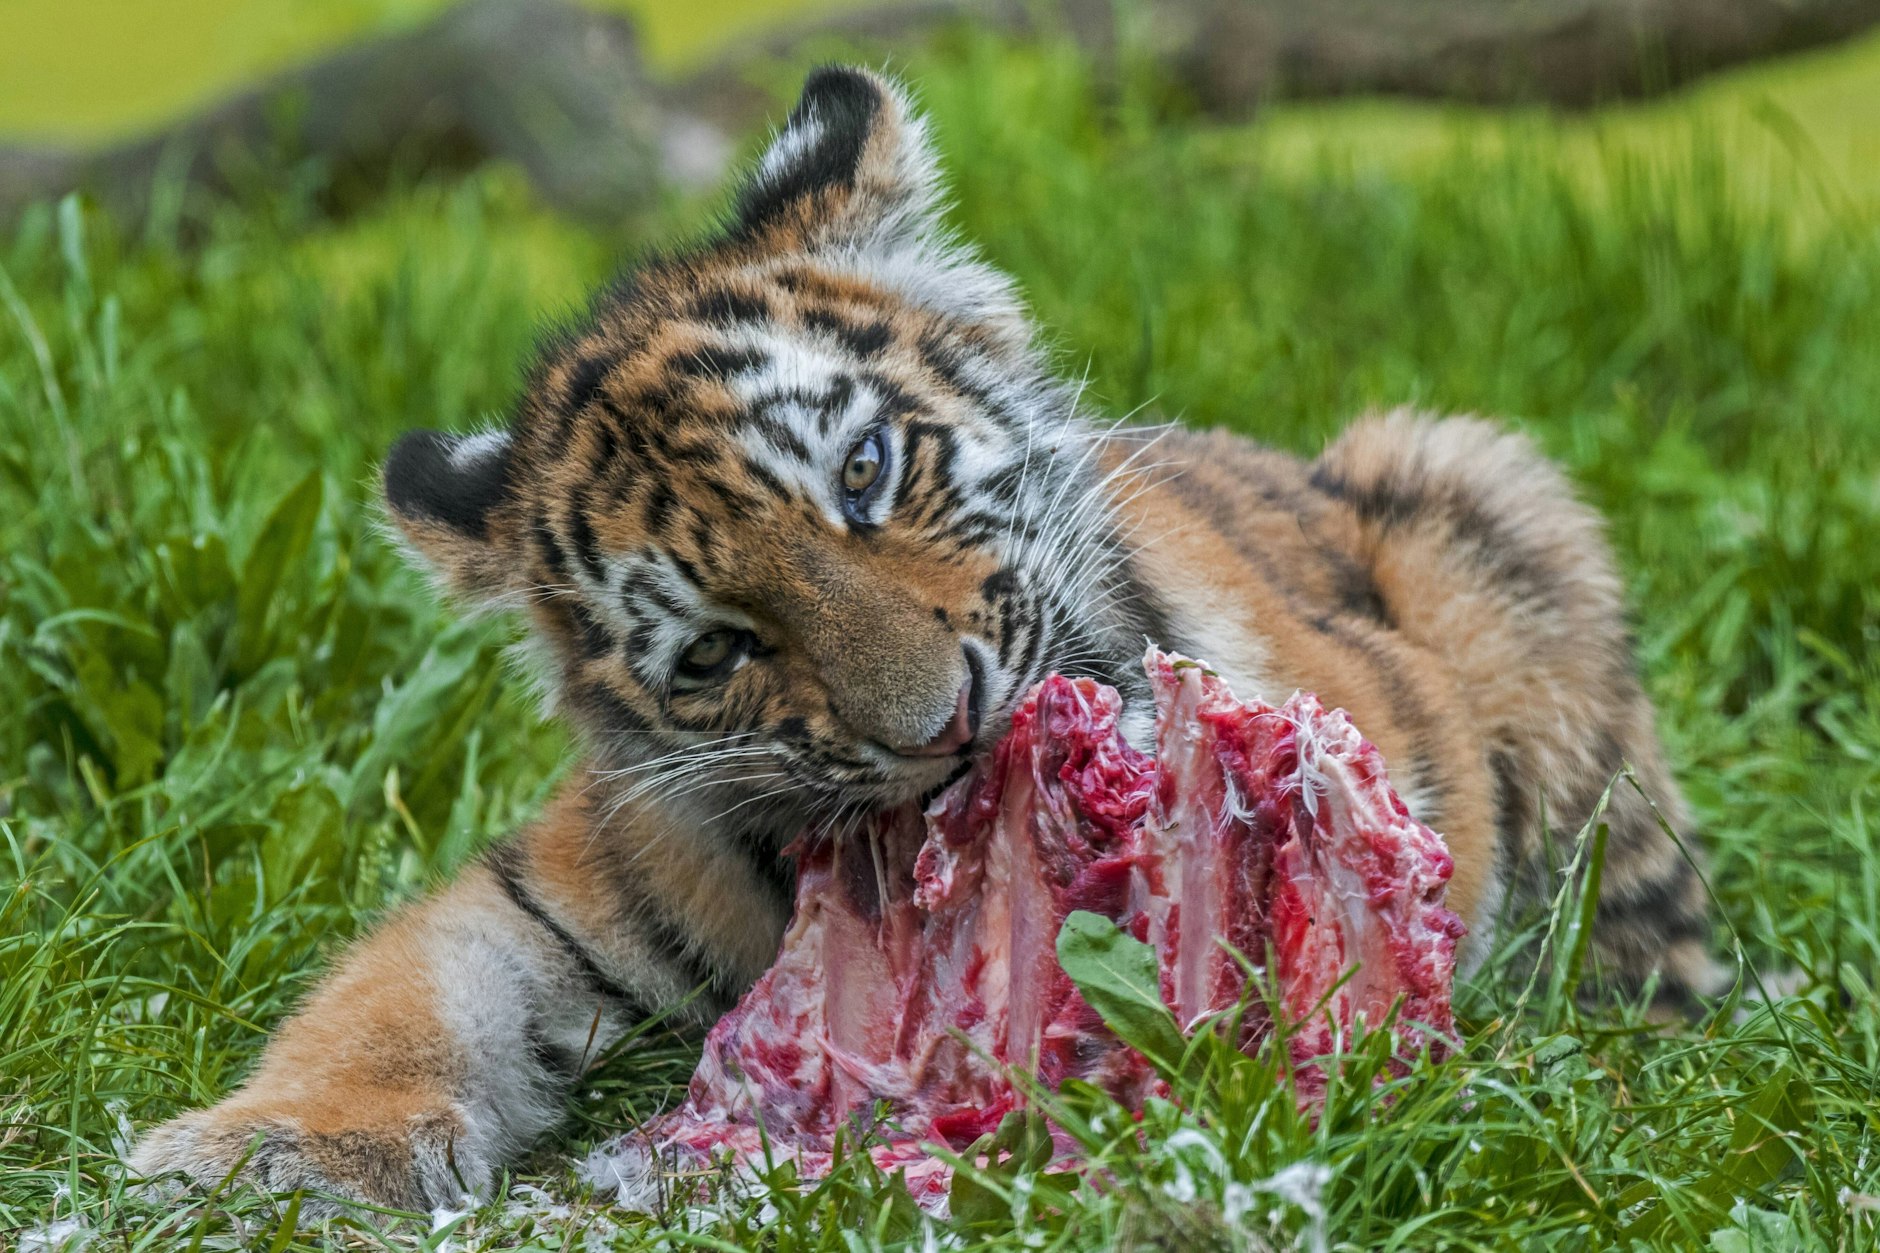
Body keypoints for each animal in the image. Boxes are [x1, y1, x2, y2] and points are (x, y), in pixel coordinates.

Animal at [130, 65, 1720, 1216]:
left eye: (866, 471)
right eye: (714, 652)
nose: (943, 723)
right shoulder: (554, 890)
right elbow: (391, 999)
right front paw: (266, 1146)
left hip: (1479, 486)